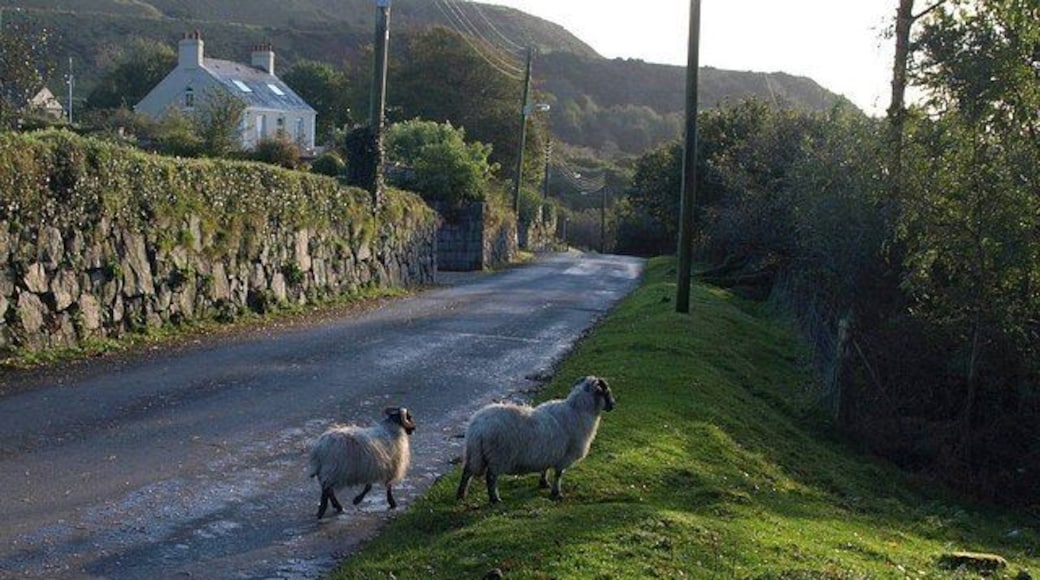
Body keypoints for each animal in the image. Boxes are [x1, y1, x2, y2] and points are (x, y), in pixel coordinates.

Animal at [456, 375, 615, 504]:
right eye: (606, 392)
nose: (613, 405)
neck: (579, 410)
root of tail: (477, 427)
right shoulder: (564, 457)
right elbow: (559, 475)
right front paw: (557, 493)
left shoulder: (549, 451)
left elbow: (545, 468)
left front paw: (544, 483)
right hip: (498, 456)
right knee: (490, 478)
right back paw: (495, 499)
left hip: (475, 453)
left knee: (467, 472)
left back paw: (461, 495)